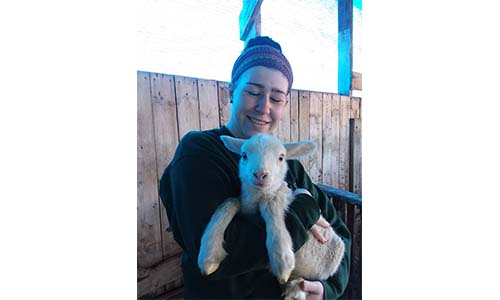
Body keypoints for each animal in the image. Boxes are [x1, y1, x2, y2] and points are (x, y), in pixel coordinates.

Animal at [197, 134, 346, 300]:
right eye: (244, 155)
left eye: (281, 157)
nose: (260, 174)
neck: (255, 200)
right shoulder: (243, 205)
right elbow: (230, 202)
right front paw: (209, 256)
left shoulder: (282, 196)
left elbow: (270, 205)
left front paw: (282, 259)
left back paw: (294, 289)